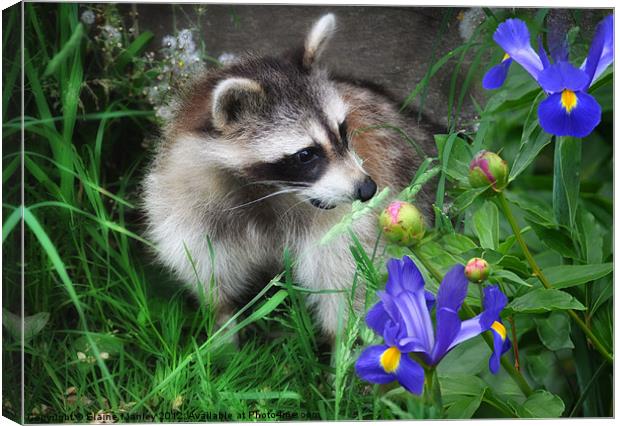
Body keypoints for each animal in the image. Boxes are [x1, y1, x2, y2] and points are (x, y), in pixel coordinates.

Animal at [143, 14, 438, 340]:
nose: (367, 188)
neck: (266, 193)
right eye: (306, 154)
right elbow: (209, 279)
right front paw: (224, 336)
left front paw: (339, 347)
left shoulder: (343, 227)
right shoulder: (190, 208)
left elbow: (345, 285)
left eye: (342, 130)